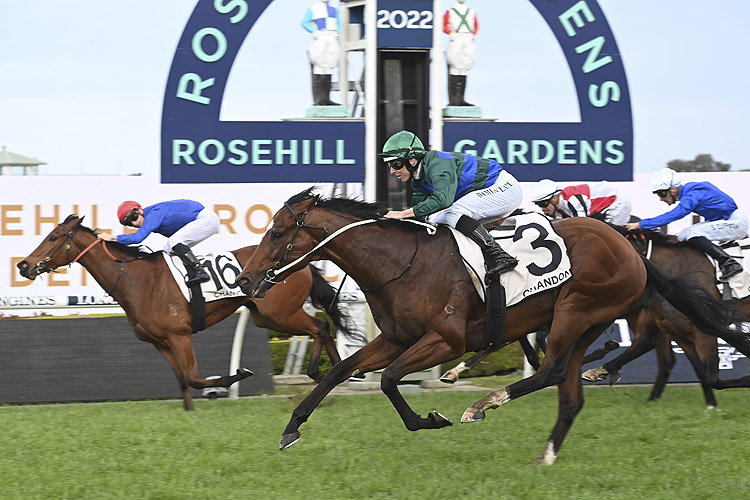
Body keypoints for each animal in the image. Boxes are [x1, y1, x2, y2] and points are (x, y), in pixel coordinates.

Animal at [17, 215, 352, 410]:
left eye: (53, 238)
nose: (23, 264)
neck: (136, 280)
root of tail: (301, 261)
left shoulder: (180, 336)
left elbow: (194, 378)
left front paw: (236, 376)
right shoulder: (160, 342)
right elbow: (182, 380)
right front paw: (189, 412)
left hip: (279, 314)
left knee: (320, 327)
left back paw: (324, 372)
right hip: (265, 316)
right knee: (322, 328)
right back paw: (335, 373)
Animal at [238, 188, 744, 464]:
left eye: (278, 233)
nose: (245, 280)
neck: (400, 262)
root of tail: (630, 247)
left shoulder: (445, 339)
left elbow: (389, 379)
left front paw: (430, 418)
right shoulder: (397, 337)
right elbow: (343, 373)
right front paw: (292, 428)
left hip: (579, 308)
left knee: (554, 369)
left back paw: (483, 404)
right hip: (584, 320)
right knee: (569, 390)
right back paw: (545, 455)